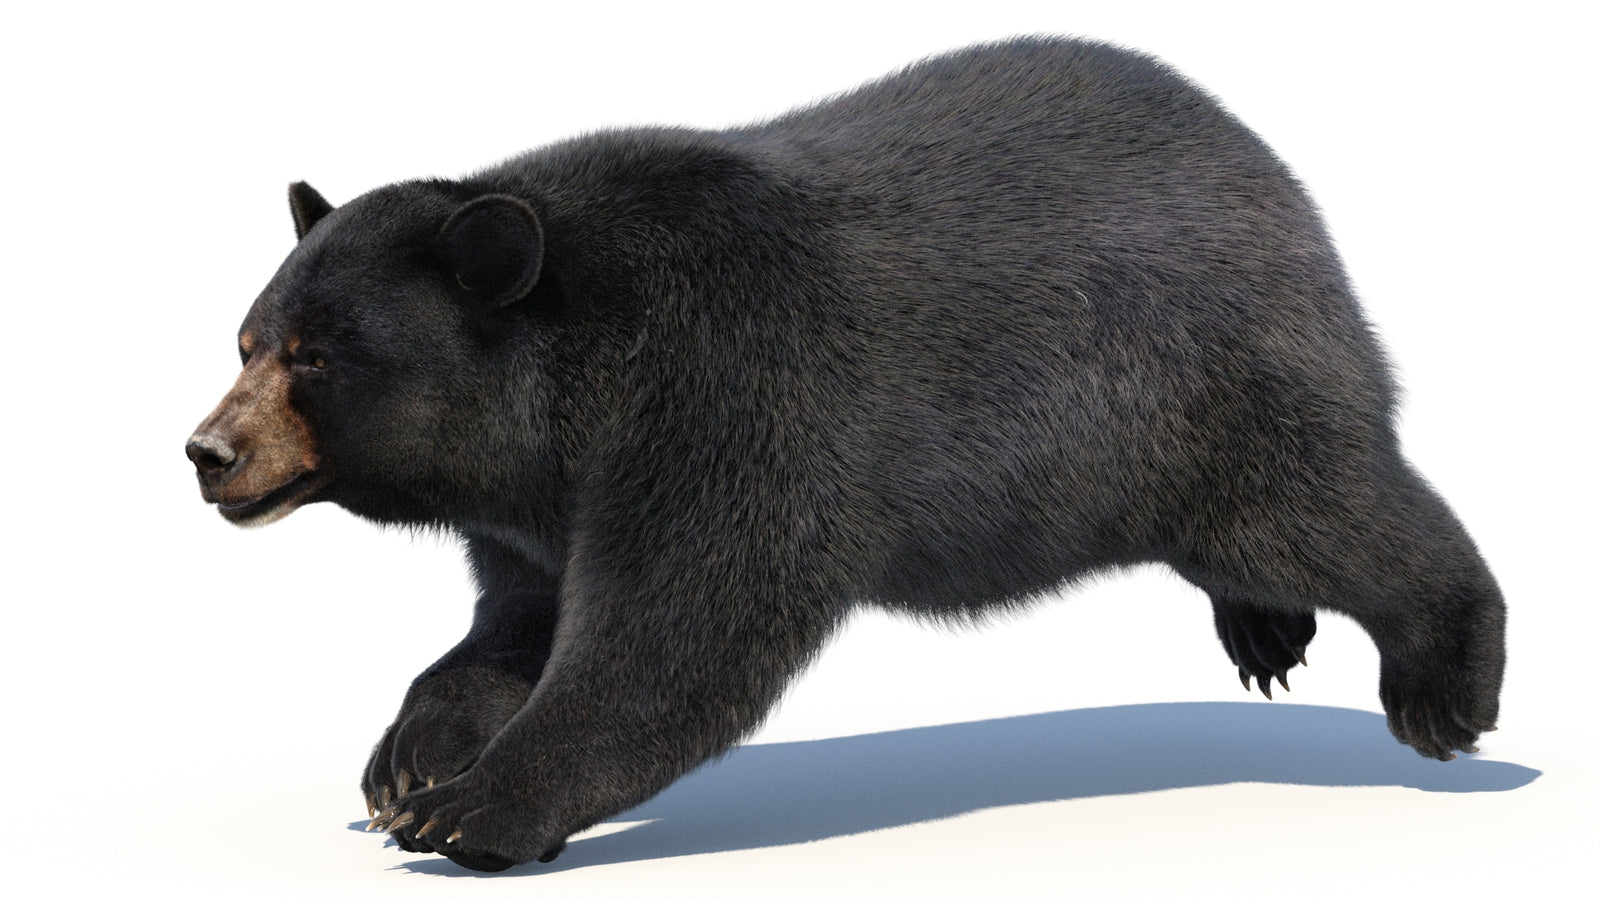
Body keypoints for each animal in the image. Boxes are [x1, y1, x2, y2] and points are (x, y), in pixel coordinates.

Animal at [186, 36, 1506, 871]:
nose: (207, 451)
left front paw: (473, 810)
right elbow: (517, 624)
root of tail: (1275, 178)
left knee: (1326, 510)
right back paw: (1265, 632)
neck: (570, 378)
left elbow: (677, 632)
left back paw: (1445, 683)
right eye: (246, 338)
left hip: (1193, 392)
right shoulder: (541, 501)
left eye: (315, 355)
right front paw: (406, 759)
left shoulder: (726, 393)